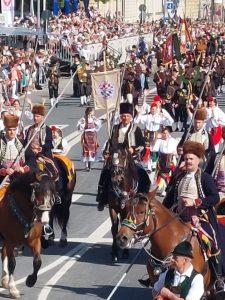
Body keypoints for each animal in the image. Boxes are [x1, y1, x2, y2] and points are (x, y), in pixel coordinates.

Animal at [0, 170, 56, 298]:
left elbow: (38, 262)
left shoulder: (34, 241)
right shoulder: (10, 242)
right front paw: (13, 289)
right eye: (37, 190)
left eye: (53, 192)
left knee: (3, 253)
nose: (44, 220)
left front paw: (30, 280)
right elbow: (12, 263)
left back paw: (4, 279)